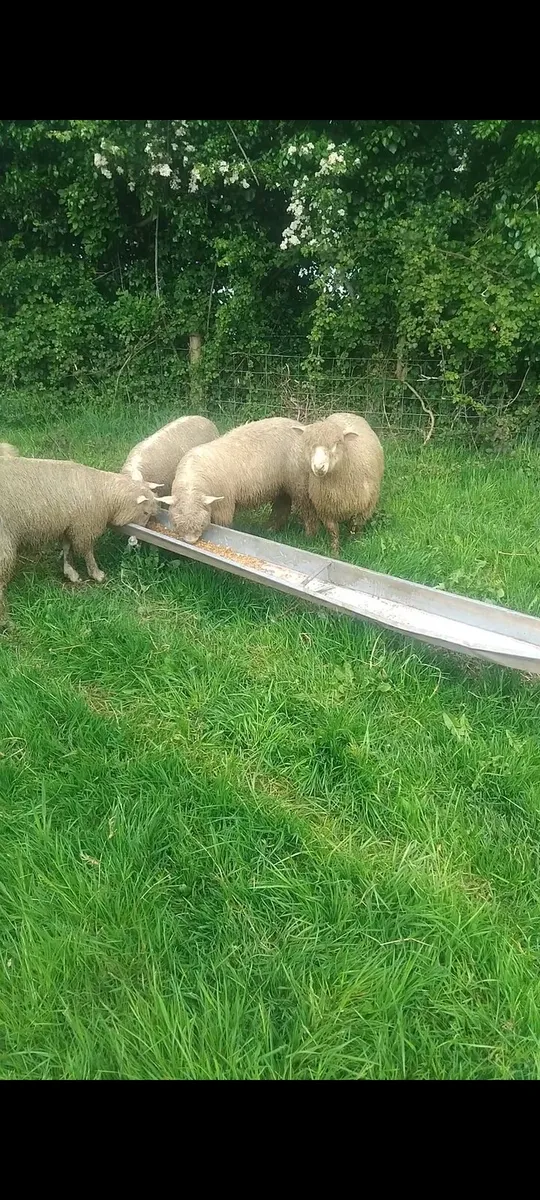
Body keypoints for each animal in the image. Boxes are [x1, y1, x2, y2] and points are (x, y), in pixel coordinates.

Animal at [0, 457, 158, 623]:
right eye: (145, 512)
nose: (139, 540)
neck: (106, 497)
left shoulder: (71, 525)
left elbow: (67, 548)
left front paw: (70, 572)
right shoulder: (84, 528)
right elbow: (87, 552)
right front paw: (96, 574)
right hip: (4, 544)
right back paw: (5, 619)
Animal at [160, 417, 315, 543]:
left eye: (202, 524)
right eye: (176, 523)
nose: (191, 541)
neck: (192, 481)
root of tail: (303, 427)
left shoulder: (223, 506)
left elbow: (223, 524)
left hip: (300, 482)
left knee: (307, 508)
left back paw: (309, 535)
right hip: (282, 485)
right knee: (282, 506)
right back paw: (271, 528)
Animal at [292, 412, 384, 555]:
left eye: (336, 444)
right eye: (308, 444)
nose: (319, 467)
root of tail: (345, 413)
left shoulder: (365, 506)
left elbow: (356, 526)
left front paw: (355, 543)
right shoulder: (325, 508)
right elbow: (333, 531)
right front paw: (335, 552)